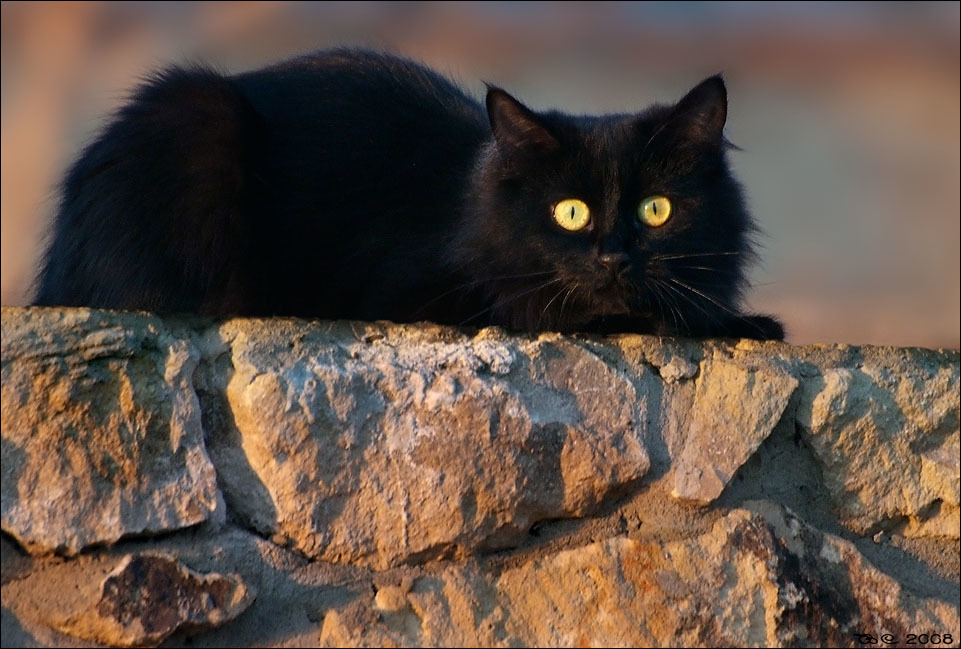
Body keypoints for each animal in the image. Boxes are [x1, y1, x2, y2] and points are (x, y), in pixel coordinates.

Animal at [33, 46, 784, 340]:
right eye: (569, 213)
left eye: (655, 210)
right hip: (195, 116)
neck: (470, 206)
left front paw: (746, 321)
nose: (613, 256)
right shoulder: (430, 292)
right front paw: (723, 323)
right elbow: (587, 312)